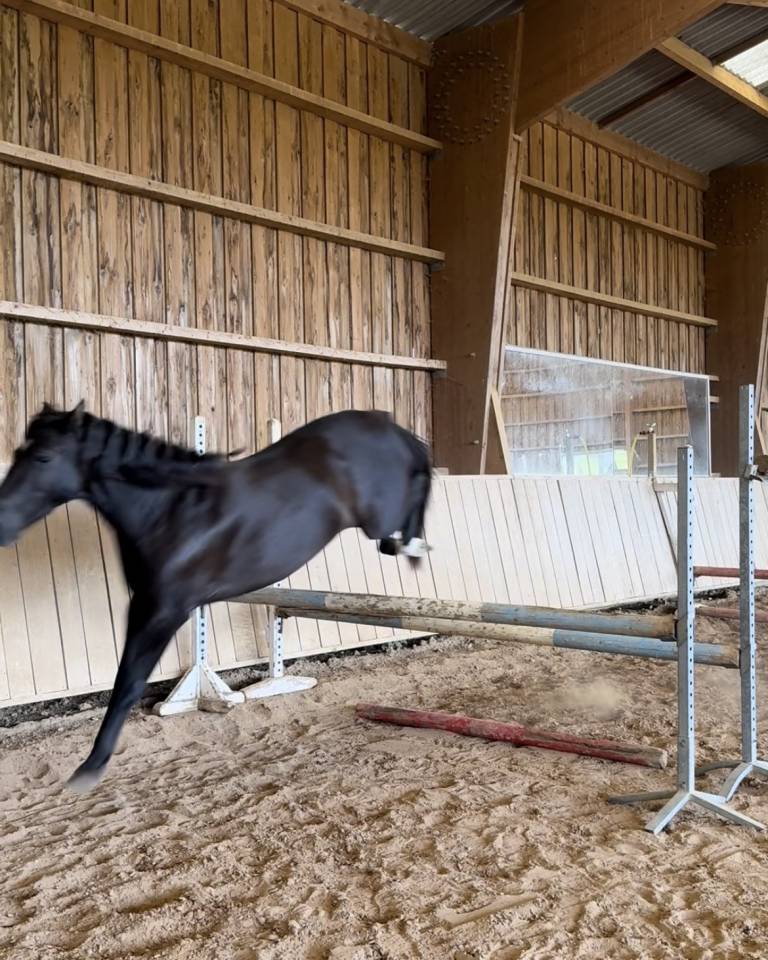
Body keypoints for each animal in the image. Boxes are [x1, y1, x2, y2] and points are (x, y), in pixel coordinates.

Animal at [0, 403, 432, 791]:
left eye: (43, 457)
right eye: (19, 452)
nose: (2, 523)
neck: (172, 509)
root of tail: (390, 427)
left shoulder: (161, 610)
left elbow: (127, 684)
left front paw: (90, 768)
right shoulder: (149, 605)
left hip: (376, 517)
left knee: (412, 497)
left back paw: (415, 547)